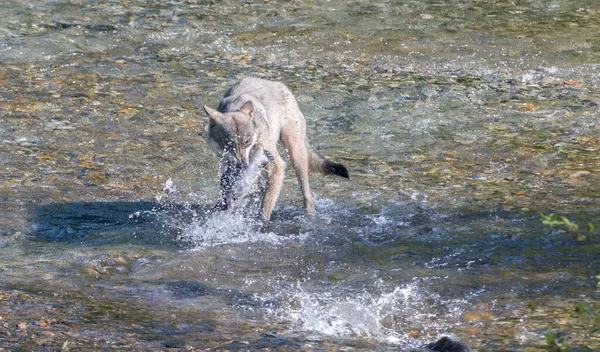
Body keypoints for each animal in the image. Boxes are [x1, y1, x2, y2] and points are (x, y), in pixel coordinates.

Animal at [204, 76, 350, 221]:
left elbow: (265, 206)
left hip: (296, 155)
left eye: (246, 141)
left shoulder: (275, 165)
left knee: (308, 196)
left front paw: (262, 221)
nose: (242, 165)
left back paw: (309, 213)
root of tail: (276, 83)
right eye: (227, 144)